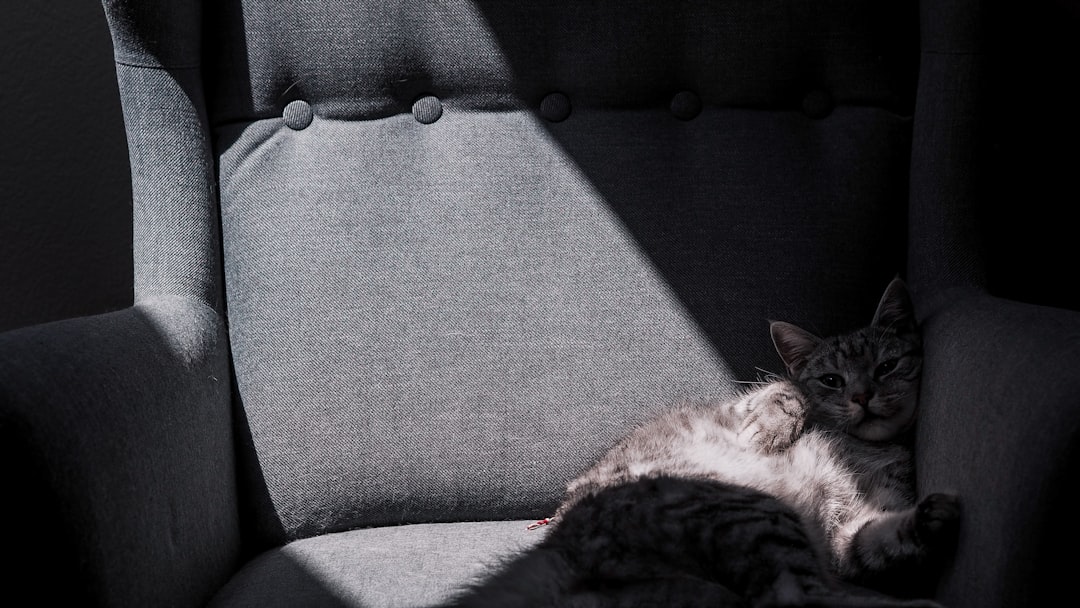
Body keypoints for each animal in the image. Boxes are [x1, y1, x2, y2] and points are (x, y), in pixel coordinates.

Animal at [442, 278, 959, 604]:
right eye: (832, 379)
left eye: (887, 366)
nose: (862, 396)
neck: (865, 448)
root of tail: (562, 548)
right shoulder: (742, 406)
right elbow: (785, 390)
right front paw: (773, 427)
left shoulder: (854, 528)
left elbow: (879, 540)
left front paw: (929, 519)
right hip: (751, 510)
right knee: (794, 597)